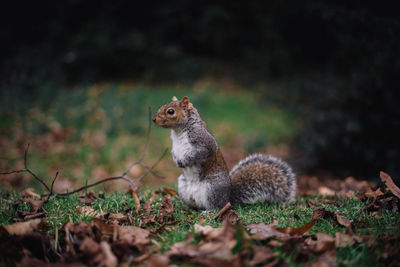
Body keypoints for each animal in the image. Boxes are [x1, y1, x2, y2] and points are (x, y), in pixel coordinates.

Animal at [152, 96, 296, 211]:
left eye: (171, 111)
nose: (153, 119)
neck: (178, 131)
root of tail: (228, 198)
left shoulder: (204, 144)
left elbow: (198, 154)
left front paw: (185, 161)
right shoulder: (175, 147)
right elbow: (174, 153)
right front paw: (176, 161)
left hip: (212, 189)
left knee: (217, 207)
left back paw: (209, 211)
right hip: (183, 186)